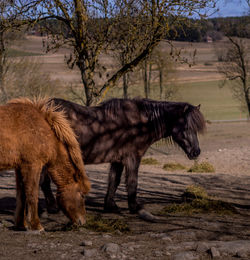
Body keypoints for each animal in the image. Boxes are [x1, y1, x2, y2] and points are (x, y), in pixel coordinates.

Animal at [0, 98, 91, 231]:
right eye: (82, 195)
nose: (83, 222)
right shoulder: (32, 166)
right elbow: (32, 194)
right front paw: (36, 225)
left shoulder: (20, 167)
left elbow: (22, 195)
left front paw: (21, 224)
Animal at [42, 97, 205, 217]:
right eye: (187, 127)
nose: (196, 152)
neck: (138, 125)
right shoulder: (132, 158)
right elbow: (132, 182)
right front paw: (135, 207)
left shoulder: (117, 160)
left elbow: (114, 181)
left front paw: (110, 206)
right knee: (44, 182)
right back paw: (53, 207)